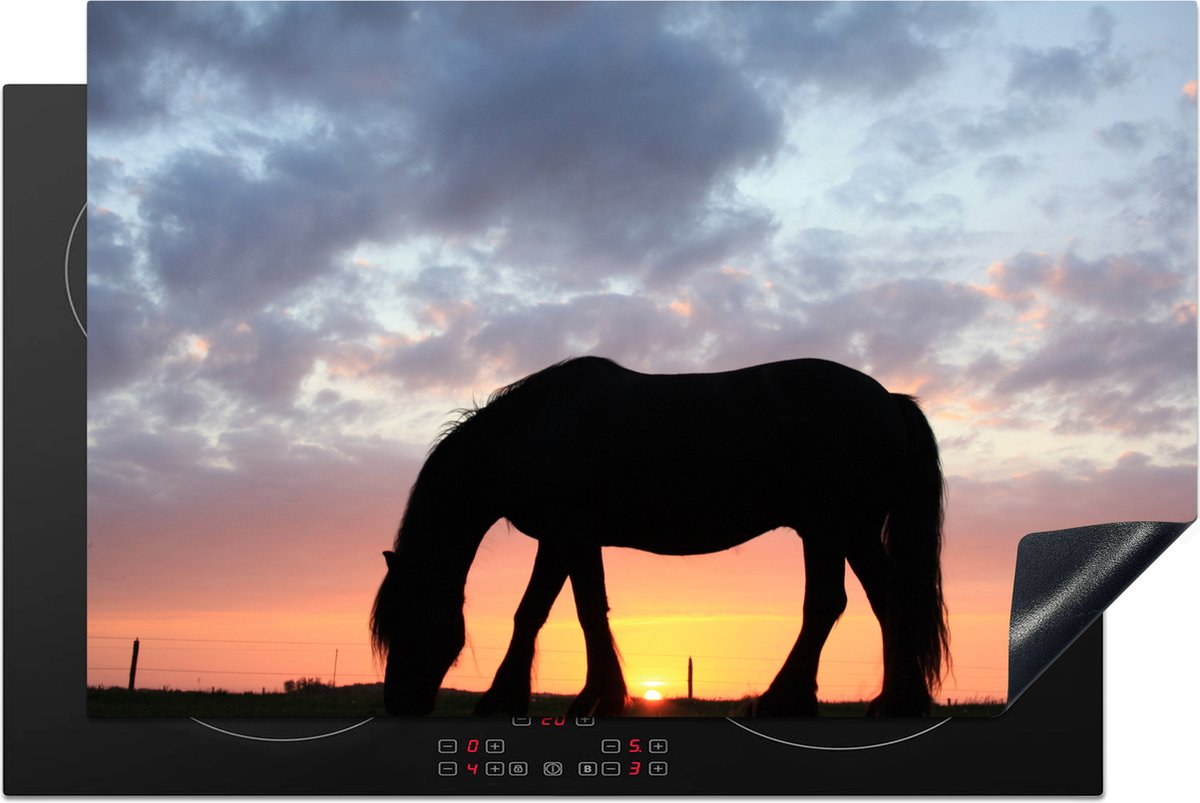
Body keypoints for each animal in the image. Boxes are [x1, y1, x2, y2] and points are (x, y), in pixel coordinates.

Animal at [370, 356, 949, 717]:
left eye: (408, 620)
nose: (398, 703)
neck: (532, 429)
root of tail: (889, 399)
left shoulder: (569, 534)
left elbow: (568, 610)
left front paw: (584, 698)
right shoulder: (565, 540)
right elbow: (550, 610)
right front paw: (532, 697)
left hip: (829, 529)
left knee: (828, 604)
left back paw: (783, 702)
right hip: (850, 532)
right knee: (888, 601)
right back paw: (895, 702)